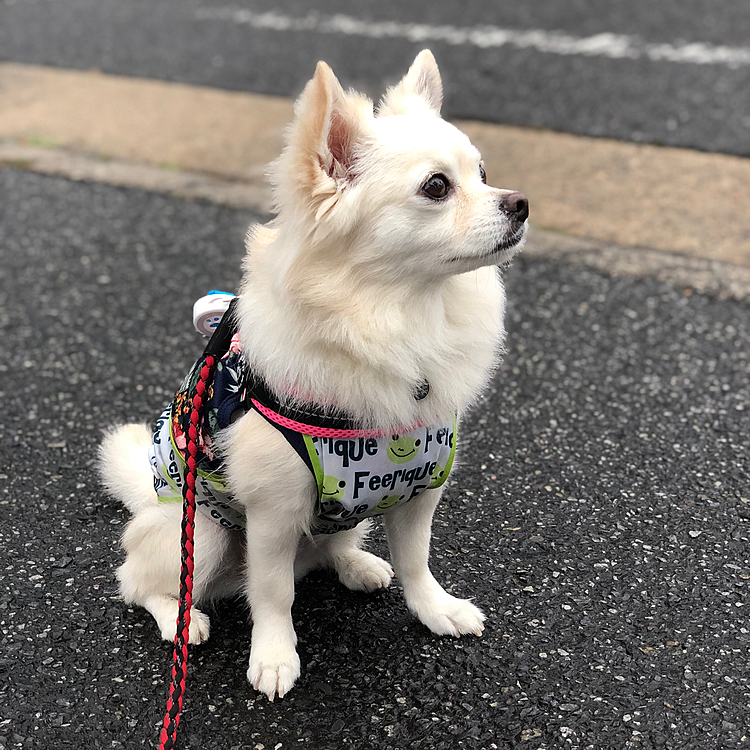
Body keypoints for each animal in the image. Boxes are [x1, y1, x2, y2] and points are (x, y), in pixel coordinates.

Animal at [101, 50, 528, 704]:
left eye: (483, 173)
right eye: (437, 187)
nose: (521, 202)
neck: (401, 317)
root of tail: (148, 495)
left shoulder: (419, 488)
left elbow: (417, 560)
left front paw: (436, 609)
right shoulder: (273, 511)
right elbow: (273, 592)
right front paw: (275, 657)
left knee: (334, 544)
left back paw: (356, 565)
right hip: (203, 530)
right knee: (141, 581)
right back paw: (184, 619)